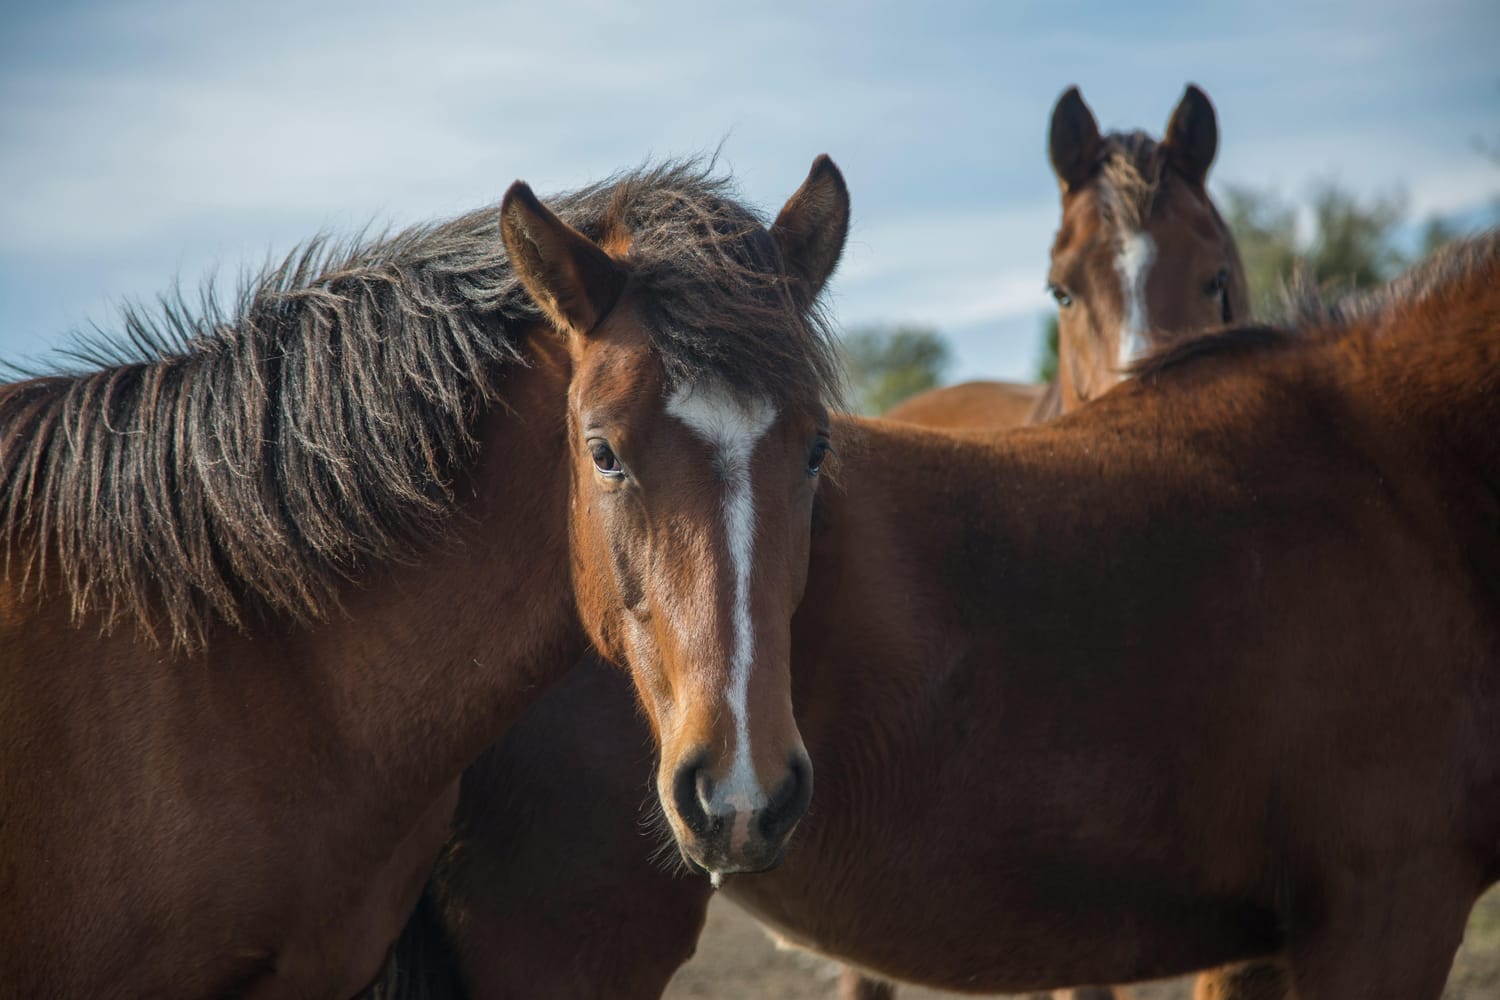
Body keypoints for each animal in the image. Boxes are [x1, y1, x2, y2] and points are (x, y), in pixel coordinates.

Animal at [372, 230, 1500, 1000]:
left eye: (818, 451)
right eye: (600, 453)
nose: (741, 790)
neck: (1394, 477)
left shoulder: (1271, 939)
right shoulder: (1381, 911)